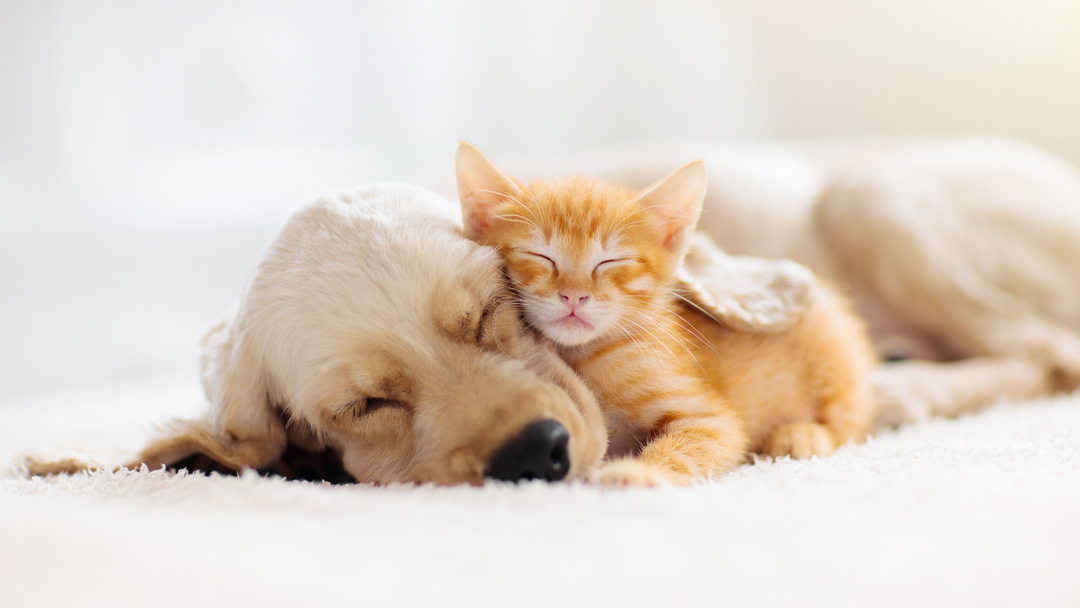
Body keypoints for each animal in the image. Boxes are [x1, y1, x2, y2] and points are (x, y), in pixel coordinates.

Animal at [455, 144, 876, 488]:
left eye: (610, 261)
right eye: (540, 256)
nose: (574, 294)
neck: (583, 356)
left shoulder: (708, 418)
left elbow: (693, 443)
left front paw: (637, 472)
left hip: (834, 352)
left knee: (853, 419)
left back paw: (804, 434)